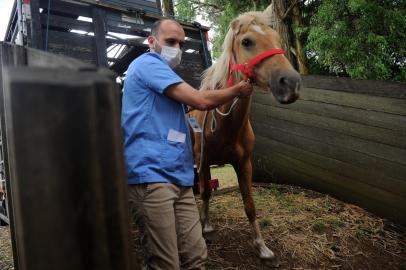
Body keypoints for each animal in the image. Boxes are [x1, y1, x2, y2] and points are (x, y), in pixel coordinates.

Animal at [189, 5, 300, 260]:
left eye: (276, 38)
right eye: (247, 41)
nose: (291, 83)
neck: (224, 124)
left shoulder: (244, 163)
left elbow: (250, 205)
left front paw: (261, 246)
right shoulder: (203, 161)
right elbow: (206, 194)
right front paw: (205, 227)